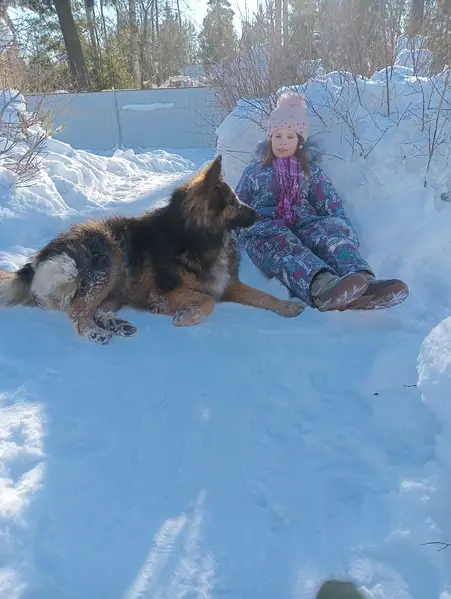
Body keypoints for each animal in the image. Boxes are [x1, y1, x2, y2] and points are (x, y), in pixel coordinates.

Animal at [0, 155, 303, 344]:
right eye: (233, 201)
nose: (259, 214)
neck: (196, 237)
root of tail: (38, 259)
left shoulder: (227, 285)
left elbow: (263, 295)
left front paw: (288, 306)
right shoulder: (165, 296)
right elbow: (206, 301)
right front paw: (186, 317)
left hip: (114, 285)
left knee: (93, 308)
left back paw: (117, 324)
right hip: (107, 261)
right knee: (76, 311)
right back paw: (96, 333)